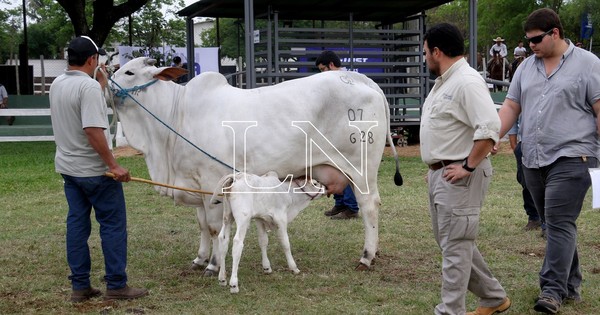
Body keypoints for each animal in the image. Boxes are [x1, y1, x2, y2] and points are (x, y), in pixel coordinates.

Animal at [110, 58, 400, 276]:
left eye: (129, 71)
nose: (105, 82)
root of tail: (359, 79)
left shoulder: (211, 181)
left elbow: (214, 228)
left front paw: (213, 265)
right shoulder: (195, 184)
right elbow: (202, 225)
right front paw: (199, 259)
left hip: (361, 168)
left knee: (369, 206)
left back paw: (366, 256)